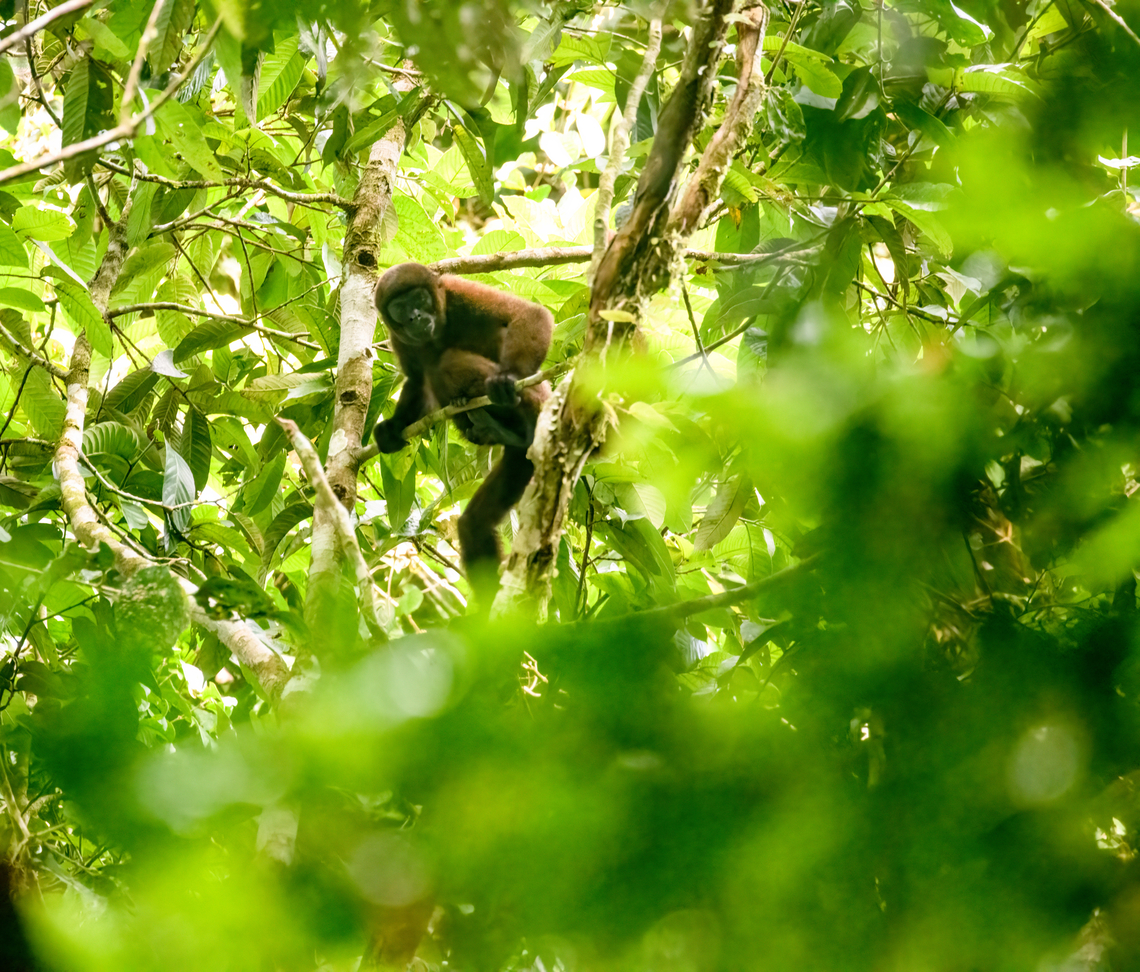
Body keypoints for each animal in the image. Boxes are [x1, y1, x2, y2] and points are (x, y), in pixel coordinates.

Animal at [372, 262, 554, 598]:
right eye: (400, 308)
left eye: (419, 298)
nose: (415, 316)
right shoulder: (398, 337)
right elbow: (416, 380)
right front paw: (393, 428)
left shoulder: (459, 292)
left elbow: (528, 314)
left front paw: (509, 377)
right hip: (520, 463)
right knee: (474, 524)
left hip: (537, 399)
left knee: (446, 363)